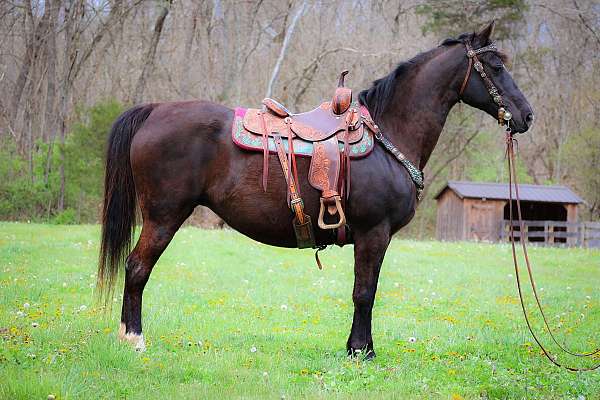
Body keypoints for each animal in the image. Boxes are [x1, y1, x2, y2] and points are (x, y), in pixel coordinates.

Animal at [98, 23, 536, 356]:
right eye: (496, 66)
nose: (527, 115)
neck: (388, 134)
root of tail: (154, 110)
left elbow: (367, 291)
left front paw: (362, 347)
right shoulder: (374, 233)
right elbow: (364, 292)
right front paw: (360, 351)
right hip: (164, 216)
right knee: (136, 268)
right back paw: (134, 338)